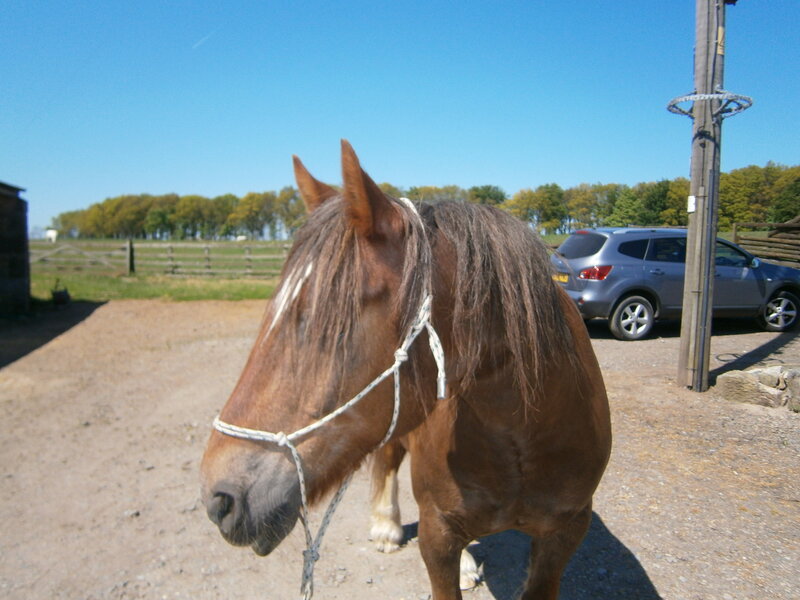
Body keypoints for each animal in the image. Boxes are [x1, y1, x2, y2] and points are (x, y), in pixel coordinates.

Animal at [201, 140, 612, 600]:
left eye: (321, 322)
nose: (218, 497)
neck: (523, 434)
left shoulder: (565, 533)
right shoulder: (437, 534)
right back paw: (387, 526)